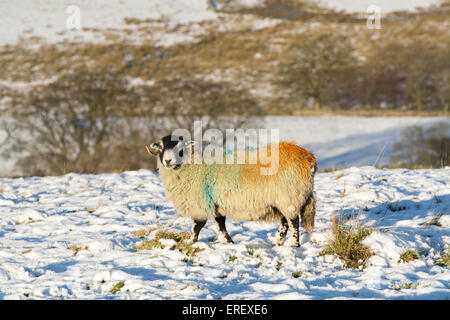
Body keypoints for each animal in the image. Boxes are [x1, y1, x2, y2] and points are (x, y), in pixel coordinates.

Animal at [148, 135, 316, 248]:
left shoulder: (201, 203)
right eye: (161, 147)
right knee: (284, 223)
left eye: (180, 148)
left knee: (293, 223)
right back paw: (278, 244)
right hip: (281, 200)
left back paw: (294, 245)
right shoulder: (216, 204)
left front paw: (191, 242)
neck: (191, 167)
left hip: (289, 197)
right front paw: (230, 243)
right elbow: (221, 225)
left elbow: (197, 226)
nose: (167, 161)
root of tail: (307, 157)